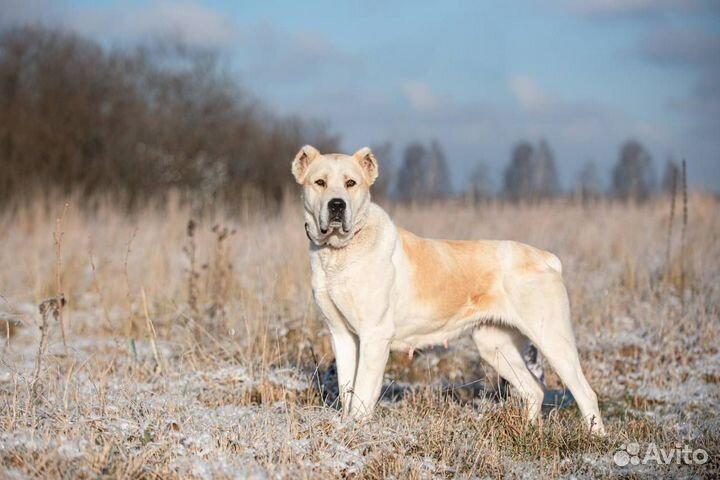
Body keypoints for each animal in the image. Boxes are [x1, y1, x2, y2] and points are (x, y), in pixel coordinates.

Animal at [294, 145, 608, 436]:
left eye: (351, 183)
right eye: (320, 182)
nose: (337, 205)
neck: (339, 252)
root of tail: (546, 258)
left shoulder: (374, 335)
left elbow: (361, 393)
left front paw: (357, 429)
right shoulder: (343, 335)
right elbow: (348, 388)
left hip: (552, 339)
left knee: (586, 393)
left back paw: (596, 438)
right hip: (495, 345)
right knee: (534, 390)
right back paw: (529, 432)